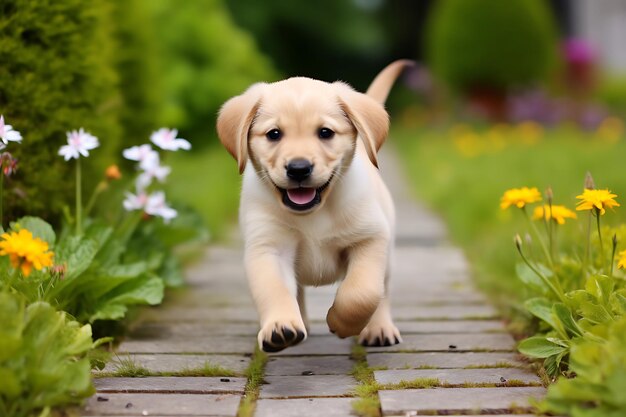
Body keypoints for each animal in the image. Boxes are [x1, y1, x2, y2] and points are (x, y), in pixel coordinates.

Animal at [217, 59, 412, 352]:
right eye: (274, 134)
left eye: (325, 133)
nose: (299, 168)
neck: (315, 213)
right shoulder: (268, 247)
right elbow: (275, 289)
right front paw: (280, 327)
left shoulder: (370, 238)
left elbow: (363, 293)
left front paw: (341, 322)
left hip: (388, 253)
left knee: (383, 292)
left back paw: (378, 328)